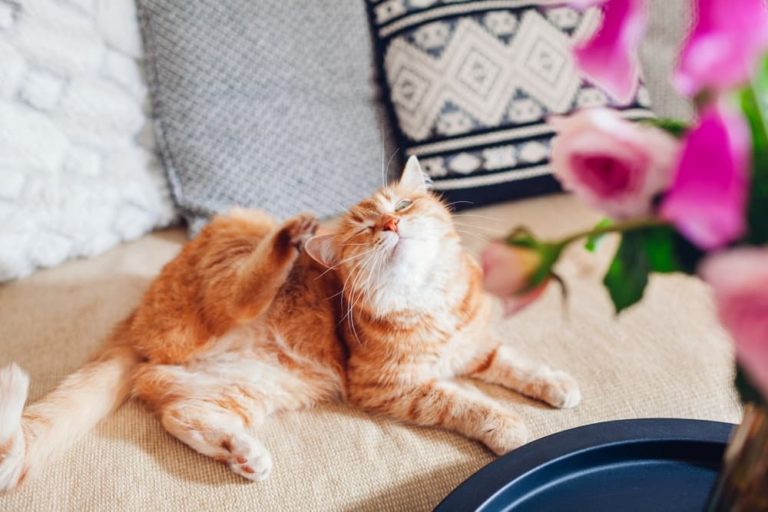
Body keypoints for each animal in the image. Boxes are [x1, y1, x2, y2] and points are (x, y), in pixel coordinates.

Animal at [0, 156, 576, 488]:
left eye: (403, 204)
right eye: (364, 230)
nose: (391, 224)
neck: (427, 301)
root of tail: (136, 320)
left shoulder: (476, 346)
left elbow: (516, 363)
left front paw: (556, 385)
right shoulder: (390, 387)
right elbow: (465, 402)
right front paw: (508, 427)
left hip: (252, 385)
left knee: (179, 415)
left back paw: (244, 455)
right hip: (234, 258)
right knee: (241, 293)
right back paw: (290, 236)